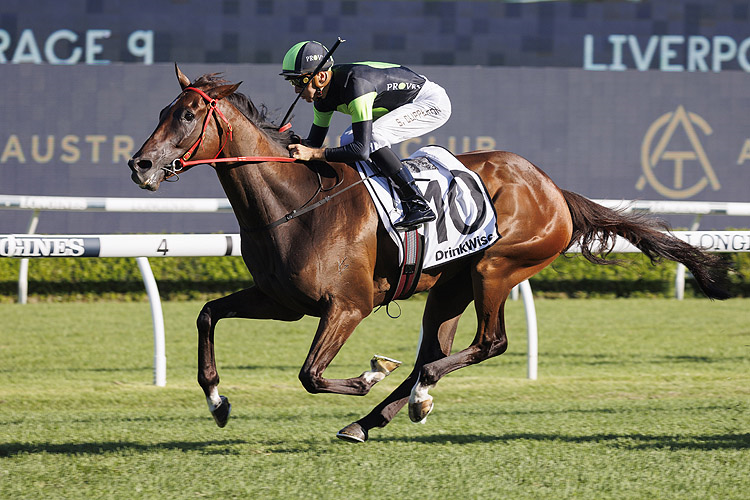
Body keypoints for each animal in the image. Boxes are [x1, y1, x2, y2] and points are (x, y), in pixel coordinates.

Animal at [126, 65, 732, 442]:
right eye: (161, 110)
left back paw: (415, 396)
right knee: (434, 352)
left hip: (496, 267)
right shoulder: (281, 300)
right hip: (449, 286)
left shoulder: (347, 305)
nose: (140, 165)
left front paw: (368, 374)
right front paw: (217, 402)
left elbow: (311, 375)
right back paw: (377, 416)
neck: (296, 204)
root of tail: (553, 188)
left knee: (488, 343)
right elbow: (208, 314)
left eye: (187, 116)